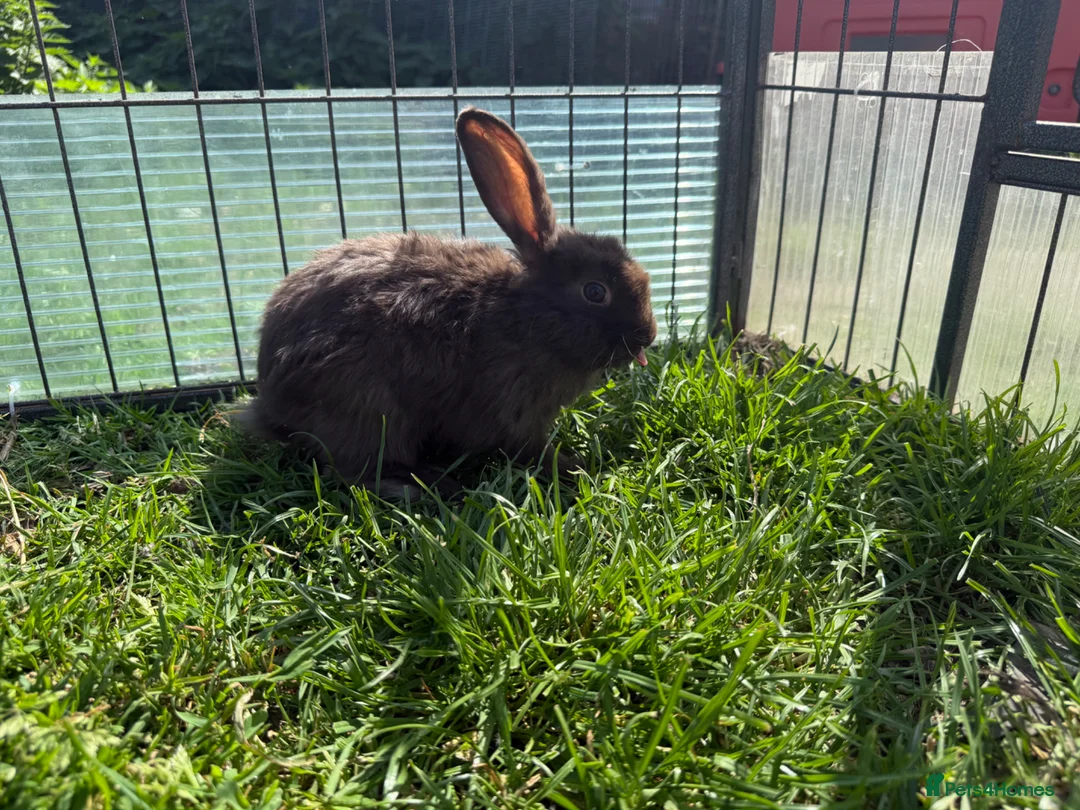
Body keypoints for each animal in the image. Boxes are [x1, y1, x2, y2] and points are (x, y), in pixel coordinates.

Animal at [239, 107, 657, 498]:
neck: (526, 318)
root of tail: (270, 404)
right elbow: (529, 450)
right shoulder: (513, 415)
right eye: (595, 291)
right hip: (367, 408)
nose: (649, 334)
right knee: (350, 470)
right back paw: (425, 484)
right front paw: (574, 468)